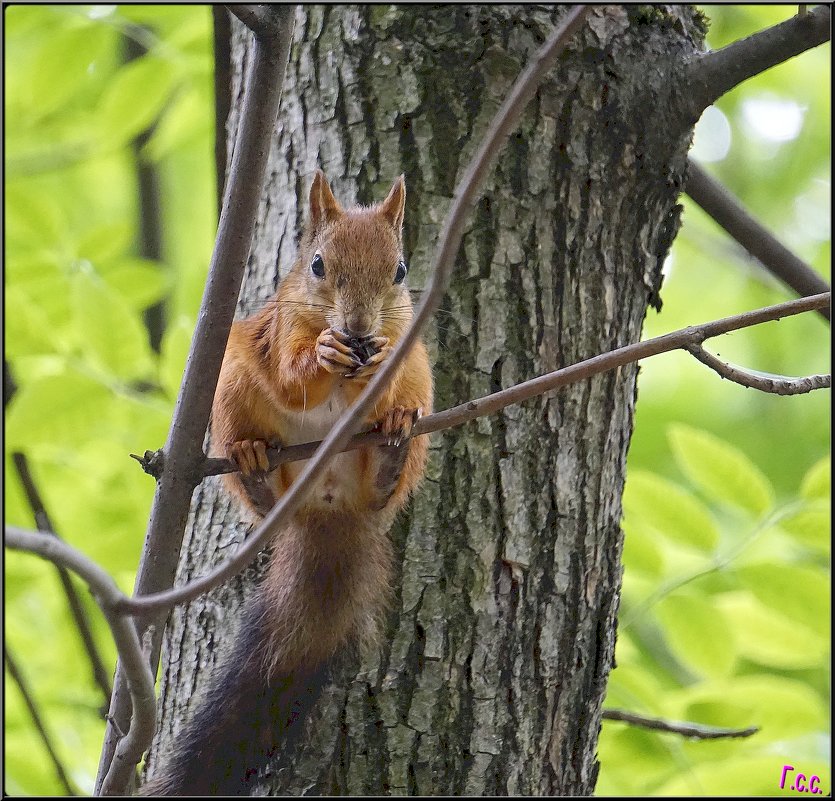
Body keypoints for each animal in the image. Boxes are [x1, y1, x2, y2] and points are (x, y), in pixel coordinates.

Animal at [143, 170, 432, 792]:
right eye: (318, 264)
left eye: (399, 270)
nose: (358, 327)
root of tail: (326, 505)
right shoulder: (278, 332)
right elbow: (290, 377)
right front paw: (322, 355)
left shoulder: (408, 344)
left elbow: (390, 370)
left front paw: (378, 369)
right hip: (228, 389)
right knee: (256, 474)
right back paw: (254, 463)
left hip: (421, 396)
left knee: (390, 472)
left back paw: (392, 448)